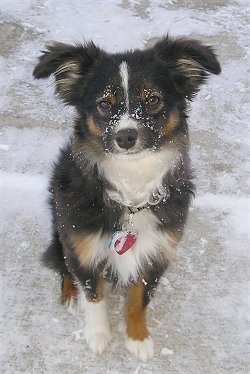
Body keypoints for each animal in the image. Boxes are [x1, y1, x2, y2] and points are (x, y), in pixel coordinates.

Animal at [33, 36, 221, 360]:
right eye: (104, 104)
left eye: (153, 100)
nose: (125, 137)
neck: (131, 186)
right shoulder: (83, 246)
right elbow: (93, 294)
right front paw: (98, 335)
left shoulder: (158, 251)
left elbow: (140, 299)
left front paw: (137, 338)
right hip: (61, 233)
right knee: (64, 266)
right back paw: (69, 294)